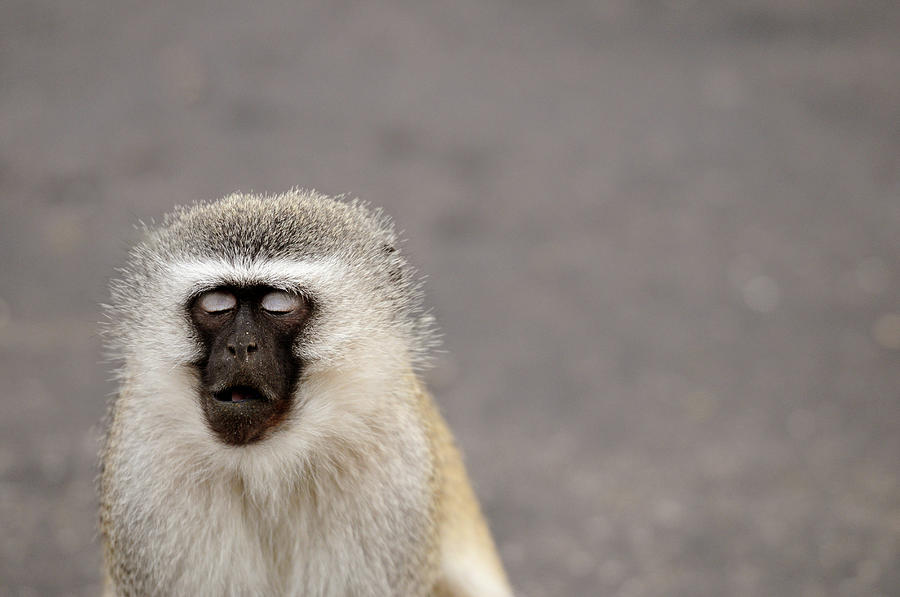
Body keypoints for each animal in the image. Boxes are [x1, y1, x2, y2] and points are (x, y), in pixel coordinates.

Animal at [99, 192, 512, 596]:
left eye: (278, 305)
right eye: (217, 304)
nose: (240, 347)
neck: (267, 465)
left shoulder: (396, 476)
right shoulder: (144, 470)